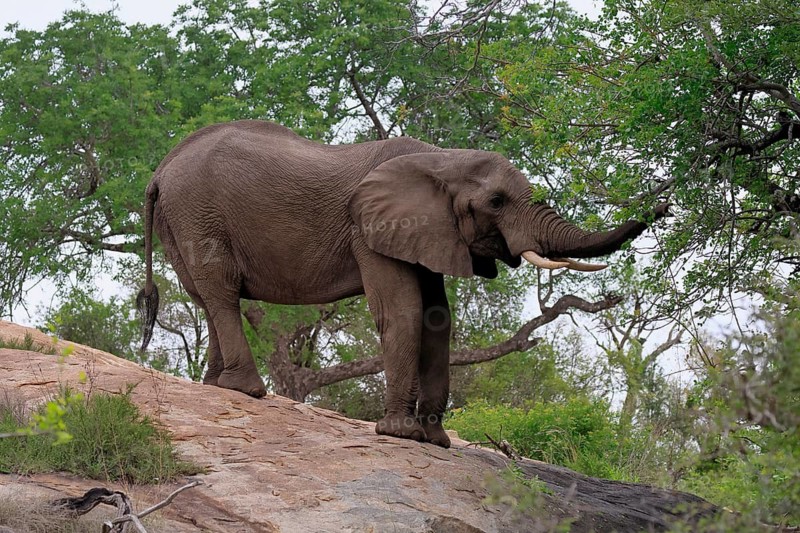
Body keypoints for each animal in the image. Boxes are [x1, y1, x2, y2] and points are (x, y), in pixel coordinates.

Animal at [137, 120, 668, 448]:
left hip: (180, 218)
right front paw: (399, 434)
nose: (663, 207)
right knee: (220, 288)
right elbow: (403, 309)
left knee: (202, 293)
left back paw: (215, 385)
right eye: (496, 202)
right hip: (197, 210)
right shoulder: (368, 228)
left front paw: (437, 441)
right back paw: (246, 391)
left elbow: (437, 316)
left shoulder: (428, 231)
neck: (441, 159)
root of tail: (161, 169)